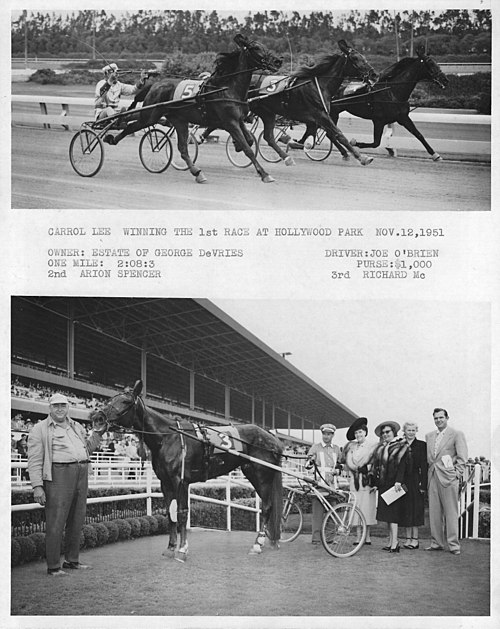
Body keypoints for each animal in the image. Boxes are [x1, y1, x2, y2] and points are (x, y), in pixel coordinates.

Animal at [92, 380, 284, 560]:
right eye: (110, 399)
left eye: (125, 401)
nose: (98, 417)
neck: (168, 437)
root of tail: (273, 439)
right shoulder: (165, 483)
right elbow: (170, 513)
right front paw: (170, 548)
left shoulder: (181, 481)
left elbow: (182, 512)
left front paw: (183, 549)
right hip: (251, 472)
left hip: (262, 475)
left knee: (267, 507)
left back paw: (257, 544)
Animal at [103, 33, 284, 182]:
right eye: (256, 48)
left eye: (264, 46)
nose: (278, 61)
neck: (227, 88)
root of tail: (155, 84)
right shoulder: (230, 122)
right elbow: (248, 148)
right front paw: (264, 174)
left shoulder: (238, 119)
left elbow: (249, 140)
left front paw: (237, 145)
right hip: (150, 114)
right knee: (132, 125)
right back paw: (111, 137)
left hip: (179, 120)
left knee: (182, 148)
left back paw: (197, 172)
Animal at [250, 39, 378, 167]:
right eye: (355, 58)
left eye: (363, 57)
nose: (374, 74)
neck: (320, 86)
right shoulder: (320, 114)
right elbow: (338, 134)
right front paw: (363, 157)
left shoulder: (313, 120)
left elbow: (308, 141)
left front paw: (289, 140)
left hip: (266, 112)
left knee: (268, 137)